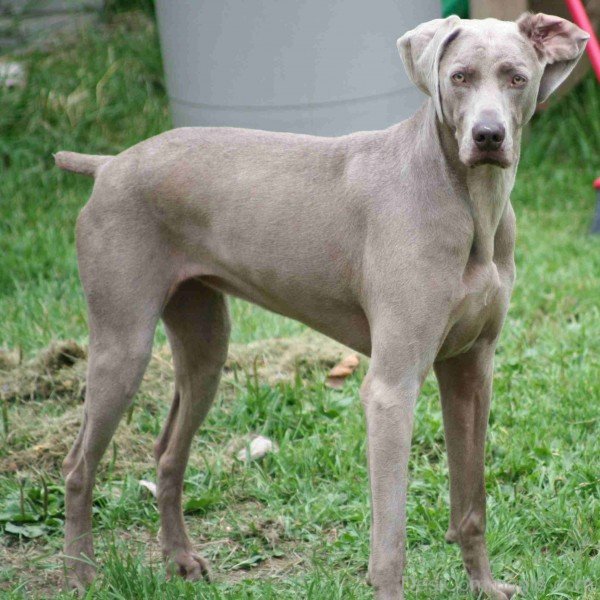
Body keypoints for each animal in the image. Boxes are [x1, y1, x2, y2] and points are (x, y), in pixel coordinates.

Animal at [54, 11, 588, 596]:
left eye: (517, 78)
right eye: (459, 77)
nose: (488, 136)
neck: (469, 207)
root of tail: (109, 165)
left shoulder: (472, 368)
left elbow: (472, 502)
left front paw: (485, 586)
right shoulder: (391, 389)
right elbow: (390, 540)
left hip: (204, 343)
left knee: (169, 451)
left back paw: (181, 559)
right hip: (122, 343)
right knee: (78, 464)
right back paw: (81, 573)